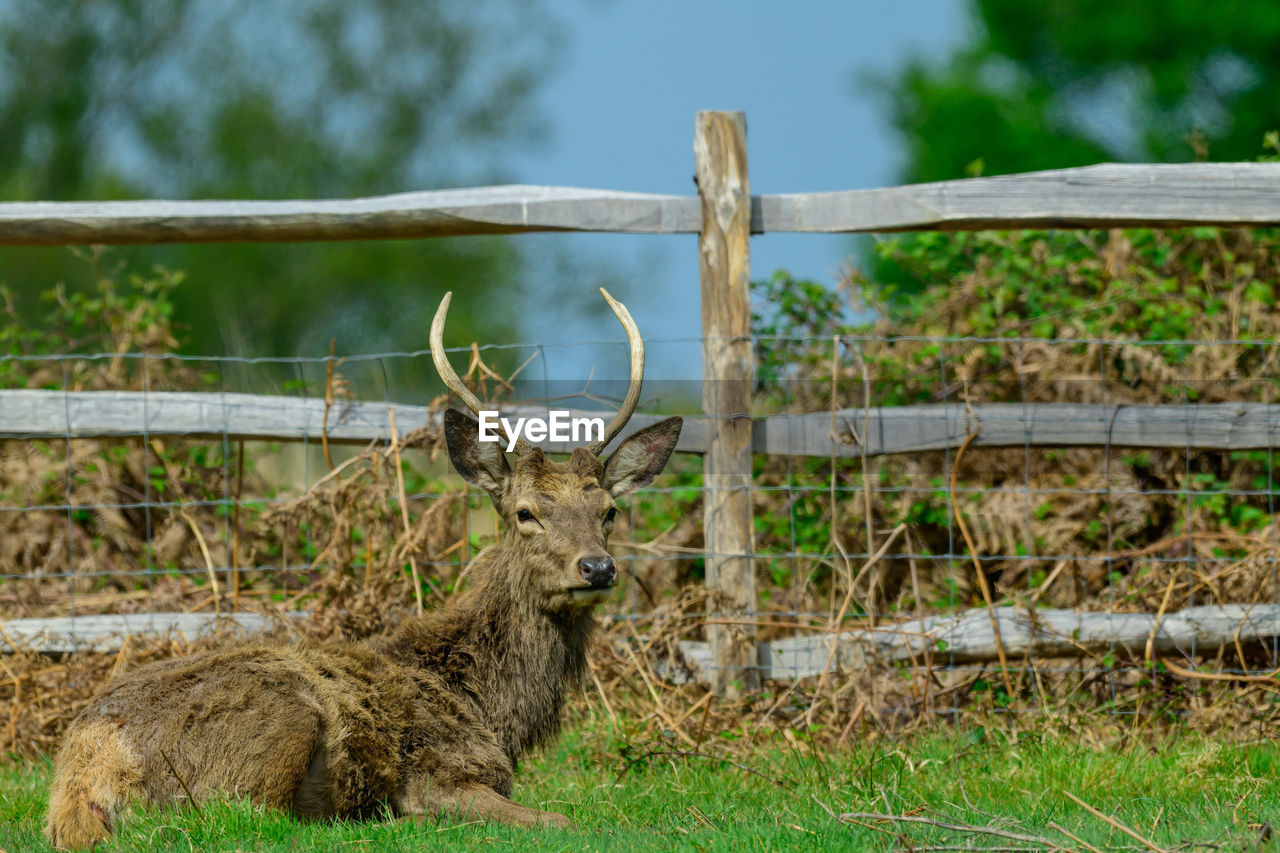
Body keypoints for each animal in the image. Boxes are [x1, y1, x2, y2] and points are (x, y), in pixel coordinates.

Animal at [45, 289, 683, 849]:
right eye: (526, 512)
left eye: (609, 511)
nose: (596, 567)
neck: (492, 711)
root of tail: (82, 774)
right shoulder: (441, 768)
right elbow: (557, 819)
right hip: (280, 722)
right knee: (256, 818)